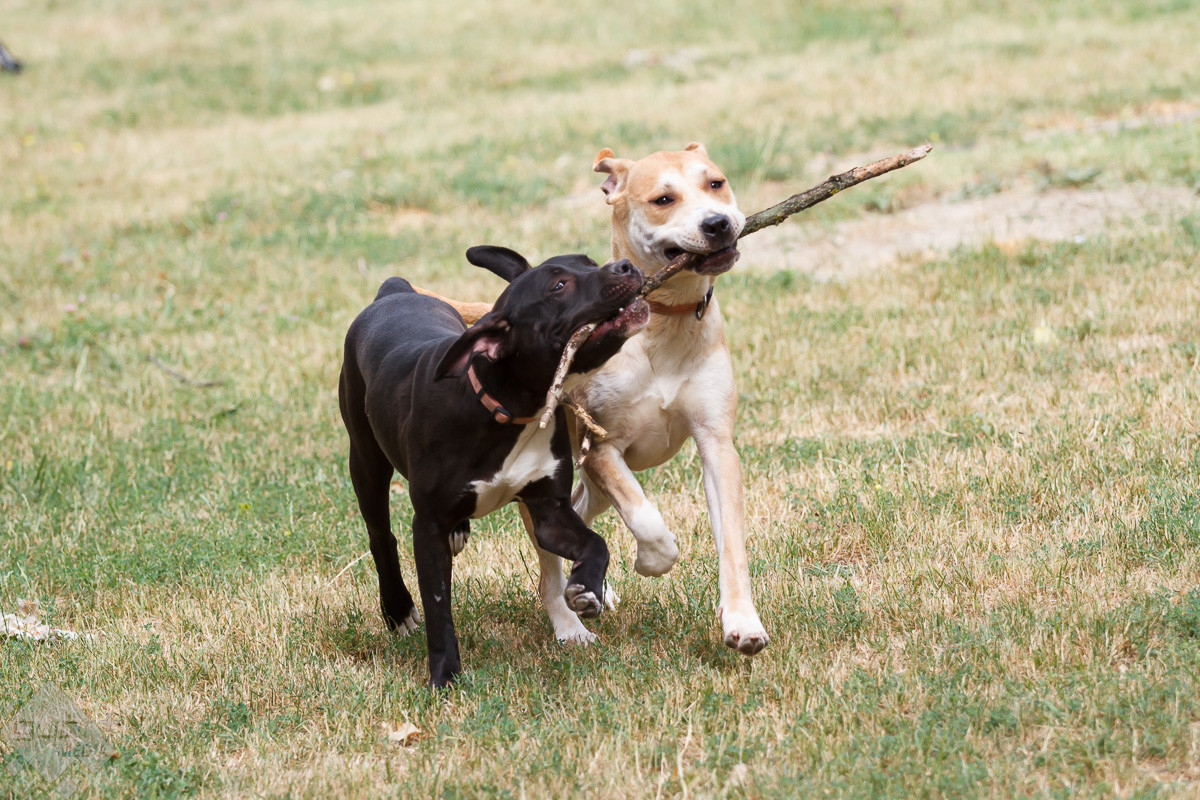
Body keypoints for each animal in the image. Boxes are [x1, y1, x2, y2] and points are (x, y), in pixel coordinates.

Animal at [338, 245, 648, 687]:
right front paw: (445, 676)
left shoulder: (549, 510)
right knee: (381, 536)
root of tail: (393, 291)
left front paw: (586, 587)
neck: (508, 407)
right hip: (366, 460)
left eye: (588, 262)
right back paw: (397, 608)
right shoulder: (427, 526)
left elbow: (595, 541)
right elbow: (438, 607)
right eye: (558, 285)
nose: (623, 265)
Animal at [421, 144, 770, 656]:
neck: (663, 324)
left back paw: (591, 588)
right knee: (550, 564)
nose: (718, 224)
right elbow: (648, 520)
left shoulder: (716, 445)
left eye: (716, 183)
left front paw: (743, 622)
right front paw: (651, 562)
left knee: (582, 512)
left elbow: (732, 542)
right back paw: (571, 617)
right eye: (663, 199)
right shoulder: (602, 448)